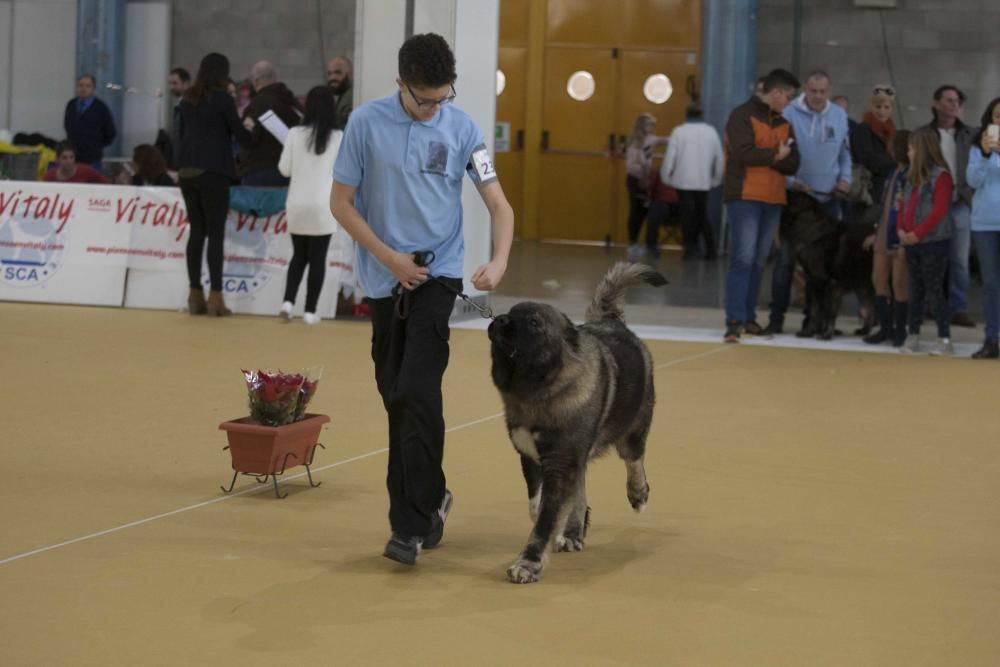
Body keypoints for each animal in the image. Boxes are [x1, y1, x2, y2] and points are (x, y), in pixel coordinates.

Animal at [488, 262, 668, 584]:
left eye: (534, 322)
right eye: (510, 311)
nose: (500, 320)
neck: (541, 386)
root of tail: (611, 321)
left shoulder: (561, 462)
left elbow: (545, 518)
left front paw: (529, 562)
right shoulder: (534, 459)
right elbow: (539, 505)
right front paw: (563, 530)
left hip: (633, 430)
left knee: (634, 460)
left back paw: (638, 494)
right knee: (582, 485)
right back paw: (573, 532)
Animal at [780, 192, 876, 340]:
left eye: (789, 195)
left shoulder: (831, 283)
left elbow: (829, 311)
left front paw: (826, 334)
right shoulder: (814, 282)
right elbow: (815, 311)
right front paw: (809, 332)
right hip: (863, 284)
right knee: (869, 305)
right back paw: (865, 330)